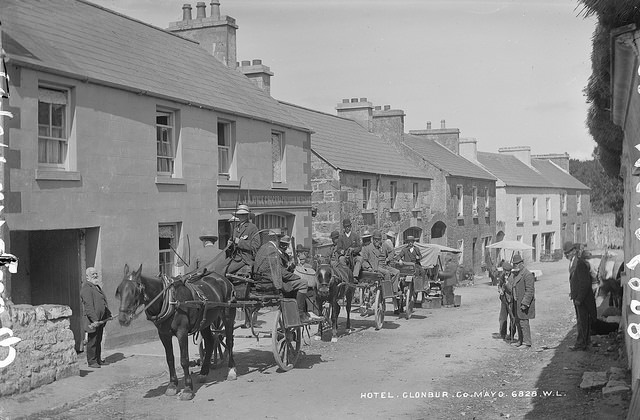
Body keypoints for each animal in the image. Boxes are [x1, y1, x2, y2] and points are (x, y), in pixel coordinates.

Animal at [114, 262, 235, 400]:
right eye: (119, 291)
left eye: (135, 291)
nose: (123, 319)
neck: (170, 299)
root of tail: (222, 278)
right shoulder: (164, 334)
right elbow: (170, 359)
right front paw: (172, 385)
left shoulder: (182, 332)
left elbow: (184, 360)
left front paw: (188, 388)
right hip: (205, 321)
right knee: (210, 342)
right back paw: (203, 373)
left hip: (228, 315)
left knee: (229, 341)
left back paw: (231, 370)